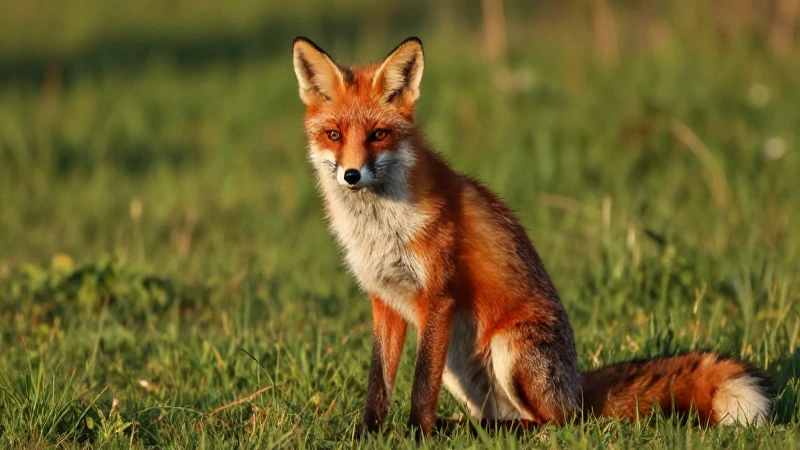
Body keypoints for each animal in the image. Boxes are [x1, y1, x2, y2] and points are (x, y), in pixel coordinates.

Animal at [291, 36, 771, 437]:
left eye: (378, 135)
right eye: (334, 134)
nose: (352, 175)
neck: (379, 227)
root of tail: (576, 387)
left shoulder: (438, 296)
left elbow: (420, 385)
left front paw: (415, 435)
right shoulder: (385, 300)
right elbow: (379, 383)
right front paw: (369, 434)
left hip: (510, 348)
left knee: (552, 424)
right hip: (461, 367)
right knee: (509, 416)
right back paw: (470, 429)